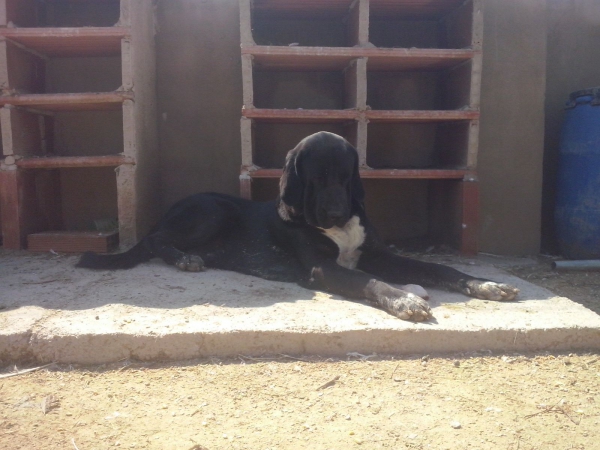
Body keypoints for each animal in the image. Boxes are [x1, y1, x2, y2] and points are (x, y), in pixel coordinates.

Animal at [77, 130, 516, 320]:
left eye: (345, 176)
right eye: (315, 178)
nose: (336, 212)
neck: (338, 229)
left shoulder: (379, 255)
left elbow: (437, 268)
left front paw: (485, 285)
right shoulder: (323, 267)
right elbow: (368, 281)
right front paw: (403, 300)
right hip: (212, 210)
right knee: (154, 240)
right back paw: (184, 258)